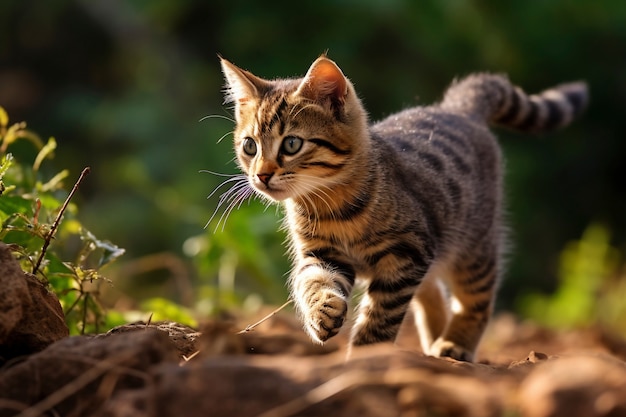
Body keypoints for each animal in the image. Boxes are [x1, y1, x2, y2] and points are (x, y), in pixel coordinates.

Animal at [219, 55, 584, 360]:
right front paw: (321, 311)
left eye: (292, 144)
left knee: (475, 299)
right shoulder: (321, 254)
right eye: (249, 146)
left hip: (473, 246)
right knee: (433, 290)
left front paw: (365, 358)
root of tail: (457, 108)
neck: (330, 204)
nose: (261, 175)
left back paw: (454, 344)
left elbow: (380, 318)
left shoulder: (407, 255)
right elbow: (312, 281)